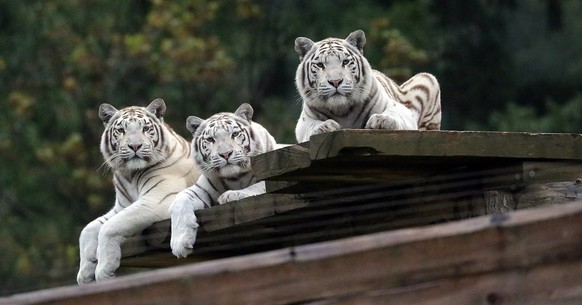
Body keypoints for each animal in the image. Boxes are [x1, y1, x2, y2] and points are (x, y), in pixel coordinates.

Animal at [76, 99, 200, 282]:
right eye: (121, 130)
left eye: (145, 128)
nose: (135, 145)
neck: (130, 174)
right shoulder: (121, 207)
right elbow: (88, 229)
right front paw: (84, 272)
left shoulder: (155, 200)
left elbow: (109, 227)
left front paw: (103, 269)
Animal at [169, 102, 278, 256]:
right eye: (210, 139)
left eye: (235, 134)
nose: (226, 154)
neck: (235, 177)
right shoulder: (200, 189)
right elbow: (180, 200)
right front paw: (180, 243)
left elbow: (258, 186)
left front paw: (231, 195)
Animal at [296, 29, 442, 142]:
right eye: (320, 65)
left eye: (345, 62)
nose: (336, 81)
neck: (342, 110)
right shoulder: (303, 122)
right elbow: (311, 126)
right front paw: (324, 126)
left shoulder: (400, 109)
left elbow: (394, 114)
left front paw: (382, 120)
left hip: (427, 78)